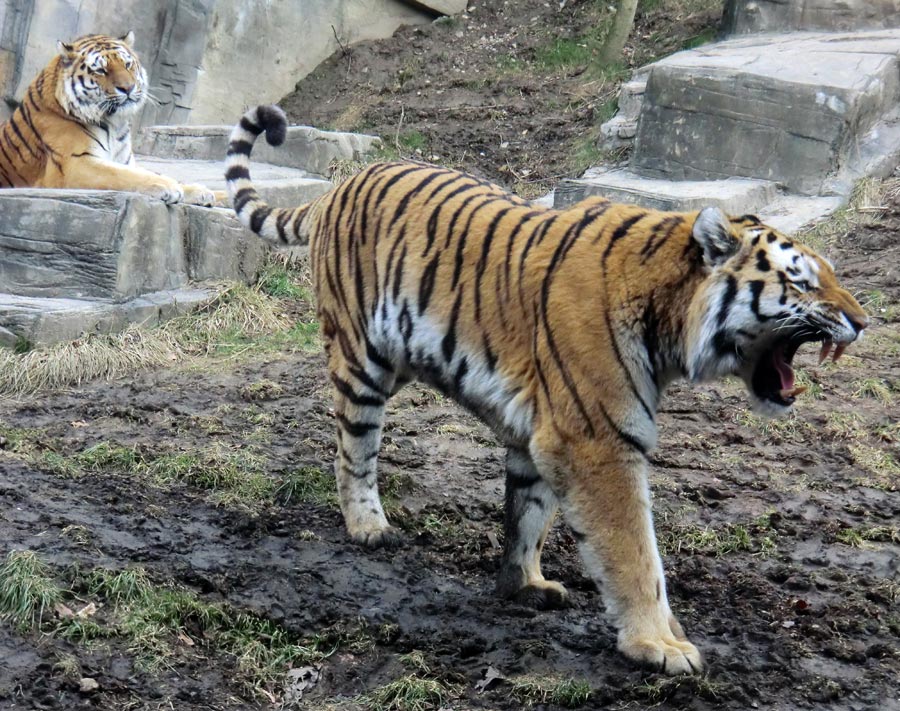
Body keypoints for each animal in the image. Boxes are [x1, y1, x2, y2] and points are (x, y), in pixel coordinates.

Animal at [0, 33, 216, 206]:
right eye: (101, 71)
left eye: (127, 65)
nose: (128, 88)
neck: (115, 124)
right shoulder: (75, 163)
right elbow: (125, 175)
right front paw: (169, 187)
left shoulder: (126, 161)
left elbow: (151, 173)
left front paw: (201, 191)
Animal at [223, 104, 864, 672]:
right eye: (802, 282)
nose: (862, 321)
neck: (669, 317)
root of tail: (339, 186)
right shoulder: (597, 440)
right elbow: (635, 552)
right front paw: (659, 644)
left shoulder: (544, 430)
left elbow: (529, 514)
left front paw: (524, 583)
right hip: (362, 362)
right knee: (351, 449)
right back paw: (367, 527)